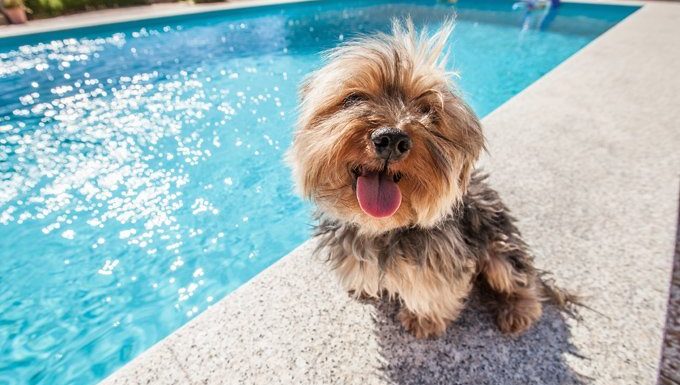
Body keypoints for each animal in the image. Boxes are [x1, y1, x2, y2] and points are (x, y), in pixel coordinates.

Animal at [284, 19, 572, 338]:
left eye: (429, 111)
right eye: (354, 98)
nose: (391, 138)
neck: (381, 228)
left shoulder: (443, 261)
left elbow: (433, 290)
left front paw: (425, 320)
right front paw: (362, 287)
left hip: (497, 237)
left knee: (519, 275)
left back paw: (517, 308)